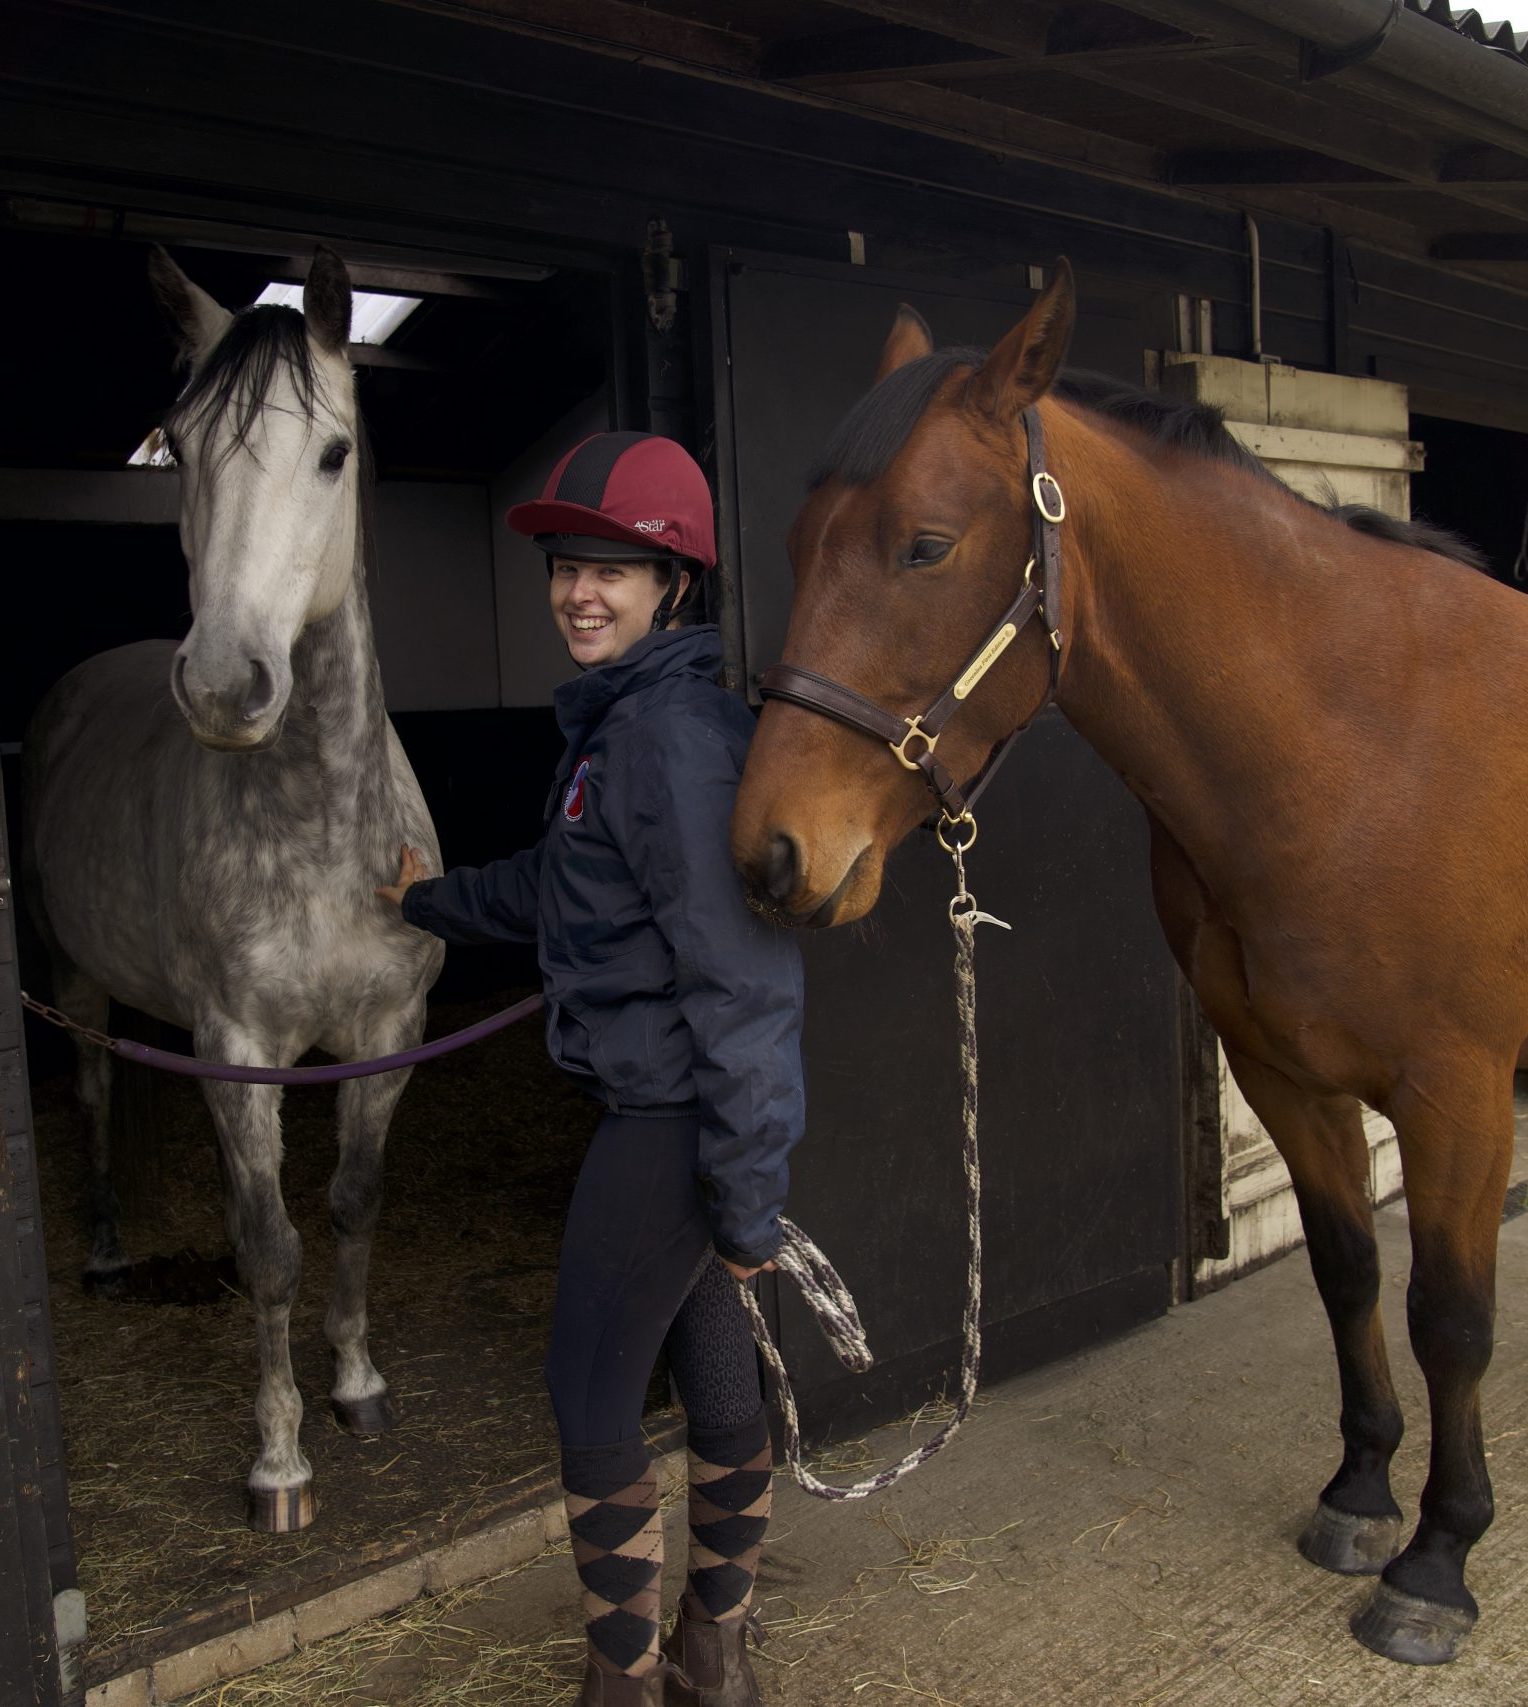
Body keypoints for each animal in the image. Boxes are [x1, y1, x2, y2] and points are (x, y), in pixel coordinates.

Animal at [23, 247, 444, 1532]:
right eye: (179, 441)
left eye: (334, 452)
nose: (222, 685)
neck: (319, 828)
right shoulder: (241, 1043)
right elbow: (272, 1252)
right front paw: (280, 1463)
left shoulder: (386, 1032)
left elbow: (350, 1207)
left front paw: (356, 1387)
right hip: (77, 985)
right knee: (97, 1096)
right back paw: (110, 1256)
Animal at [730, 260, 1527, 1666]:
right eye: (794, 543)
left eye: (924, 545)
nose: (771, 853)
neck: (1366, 747)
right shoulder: (1278, 1072)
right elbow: (1346, 1270)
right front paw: (1359, 1496)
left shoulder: (1459, 1098)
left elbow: (1451, 1319)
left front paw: (1437, 1561)